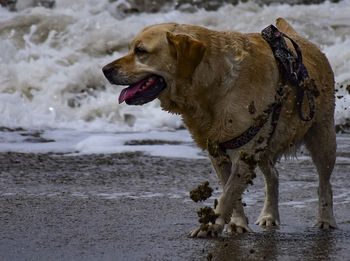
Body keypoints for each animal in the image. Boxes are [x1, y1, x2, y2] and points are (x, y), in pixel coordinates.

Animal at [102, 17, 338, 235]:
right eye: (130, 48)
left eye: (141, 51)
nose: (105, 69)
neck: (211, 84)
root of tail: (300, 39)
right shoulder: (218, 150)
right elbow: (230, 191)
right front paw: (237, 223)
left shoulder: (243, 150)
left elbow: (229, 193)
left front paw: (210, 225)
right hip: (264, 144)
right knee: (273, 176)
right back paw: (269, 215)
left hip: (322, 135)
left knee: (324, 183)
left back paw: (326, 220)